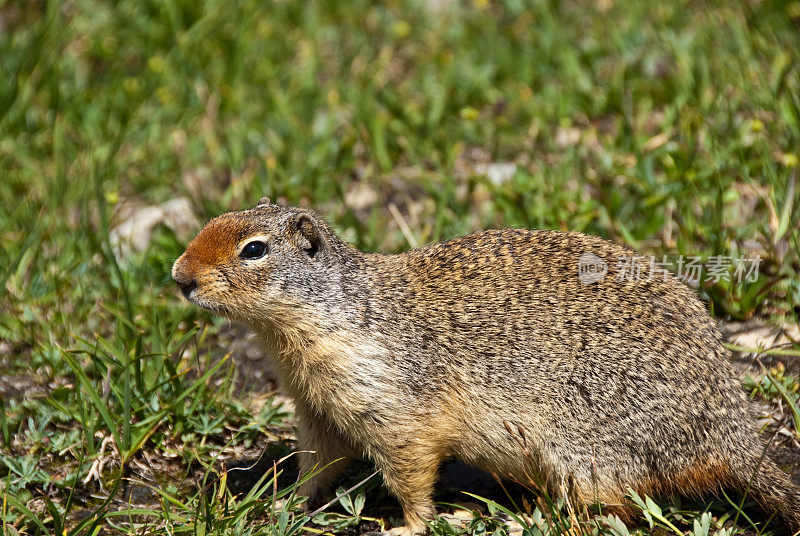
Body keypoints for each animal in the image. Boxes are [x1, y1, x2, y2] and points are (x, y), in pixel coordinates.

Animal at [172, 199, 800, 532]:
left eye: (254, 249)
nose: (179, 277)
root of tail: (733, 434)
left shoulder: (395, 405)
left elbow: (412, 470)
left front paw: (409, 524)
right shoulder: (317, 411)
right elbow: (317, 467)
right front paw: (281, 504)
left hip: (586, 448)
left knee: (610, 509)